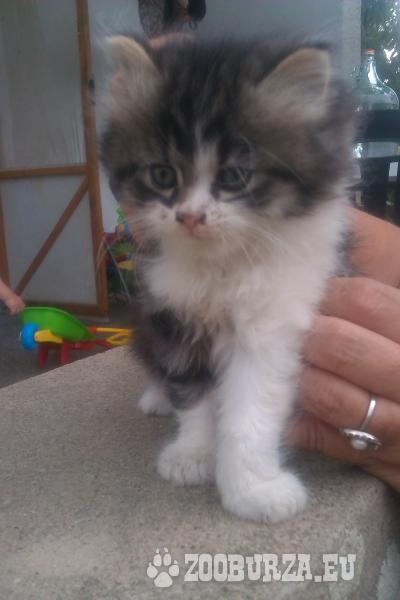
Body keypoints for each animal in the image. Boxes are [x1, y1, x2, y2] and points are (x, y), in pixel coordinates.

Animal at [100, 35, 354, 522]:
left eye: (234, 176)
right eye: (163, 174)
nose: (190, 216)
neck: (221, 265)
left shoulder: (272, 322)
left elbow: (250, 413)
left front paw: (254, 490)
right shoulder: (170, 314)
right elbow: (192, 392)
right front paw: (192, 454)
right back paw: (157, 396)